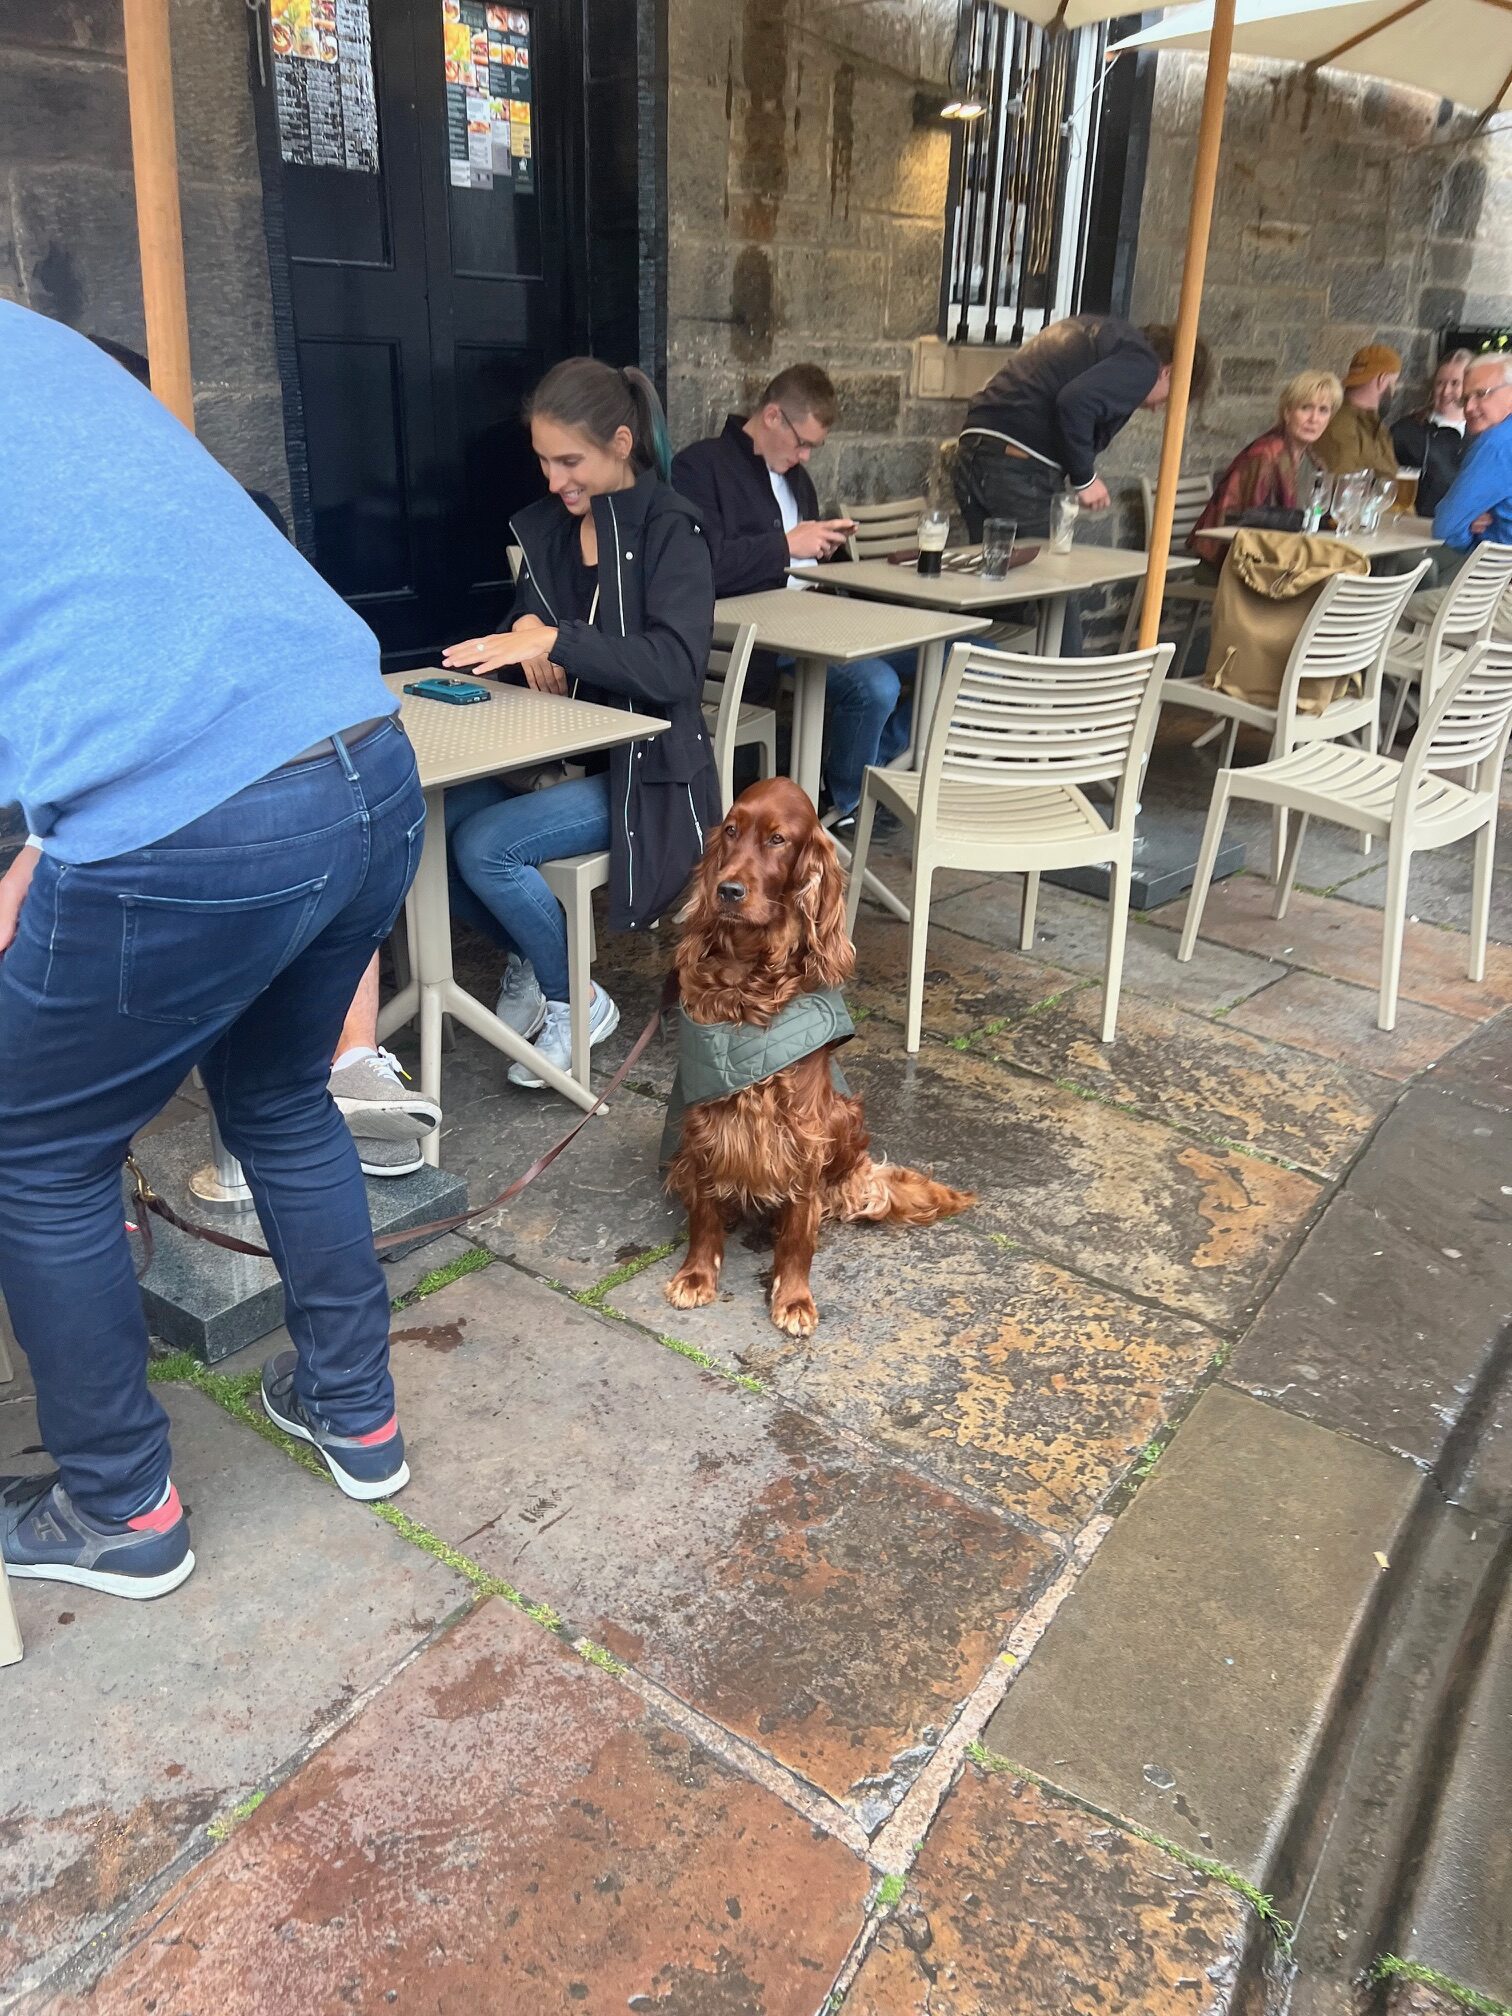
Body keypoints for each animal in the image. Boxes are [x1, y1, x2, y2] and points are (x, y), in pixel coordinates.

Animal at [661, 774, 971, 1338]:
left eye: (778, 839)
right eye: (731, 830)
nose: (727, 891)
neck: (748, 983)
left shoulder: (803, 1131)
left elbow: (798, 1232)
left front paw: (793, 1297)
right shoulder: (706, 1118)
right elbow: (705, 1211)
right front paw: (696, 1275)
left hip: (846, 1116)